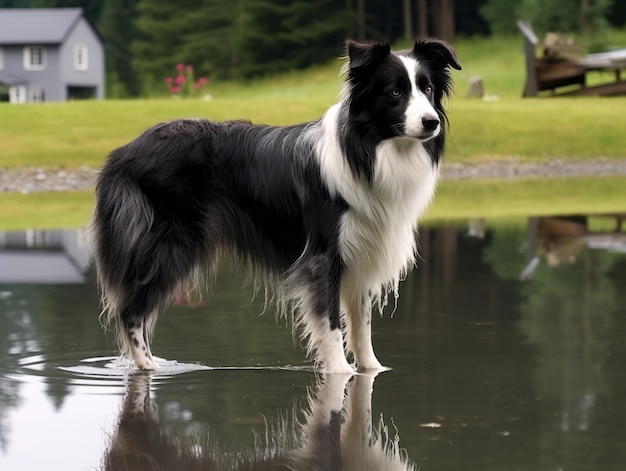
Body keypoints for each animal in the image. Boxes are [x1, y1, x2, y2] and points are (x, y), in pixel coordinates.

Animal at [89, 38, 458, 374]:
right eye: (394, 92)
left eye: (427, 89)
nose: (431, 122)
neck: (367, 148)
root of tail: (121, 152)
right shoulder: (323, 256)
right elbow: (330, 324)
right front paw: (341, 373)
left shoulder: (363, 253)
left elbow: (361, 328)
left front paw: (372, 371)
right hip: (170, 243)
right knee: (130, 309)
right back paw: (148, 365)